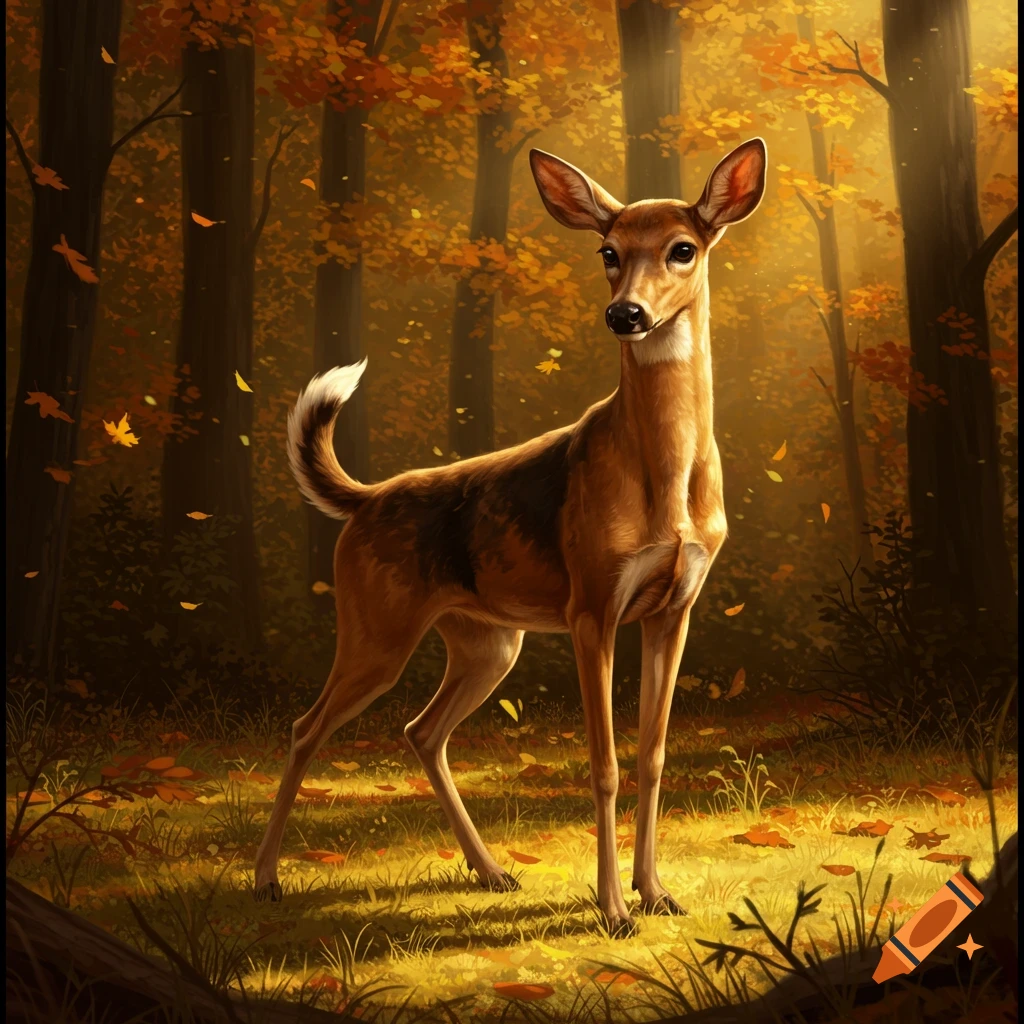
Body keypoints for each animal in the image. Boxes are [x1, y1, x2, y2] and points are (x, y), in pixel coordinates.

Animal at [254, 138, 767, 936]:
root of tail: (365, 500)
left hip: (487, 641)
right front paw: (612, 910)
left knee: (421, 731)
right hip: (375, 629)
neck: (667, 484)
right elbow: (604, 764)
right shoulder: (592, 605)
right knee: (308, 727)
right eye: (607, 251)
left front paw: (656, 894)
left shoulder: (674, 607)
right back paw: (267, 879)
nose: (626, 313)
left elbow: (651, 757)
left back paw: (492, 871)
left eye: (683, 248)